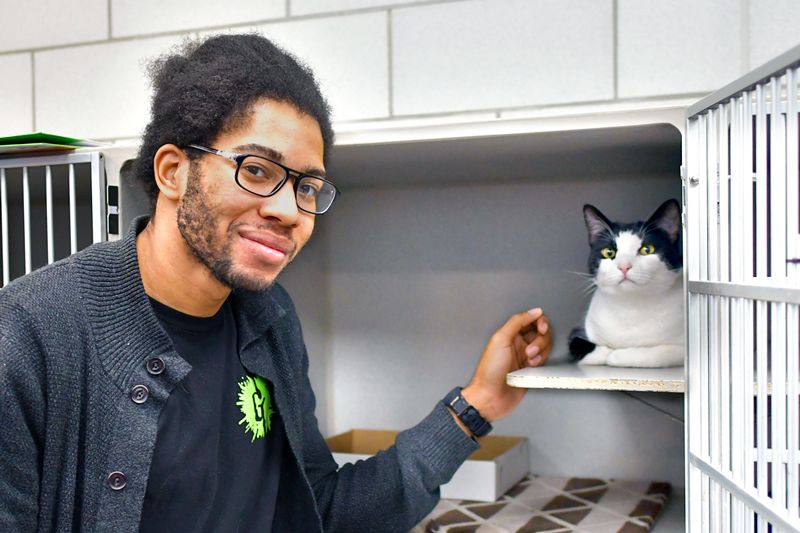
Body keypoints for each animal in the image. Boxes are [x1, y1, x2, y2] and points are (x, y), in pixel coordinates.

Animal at [564, 197, 684, 368]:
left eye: (647, 249)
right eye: (609, 252)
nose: (624, 266)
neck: (629, 306)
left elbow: (657, 353)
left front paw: (618, 354)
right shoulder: (579, 331)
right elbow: (580, 346)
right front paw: (607, 353)